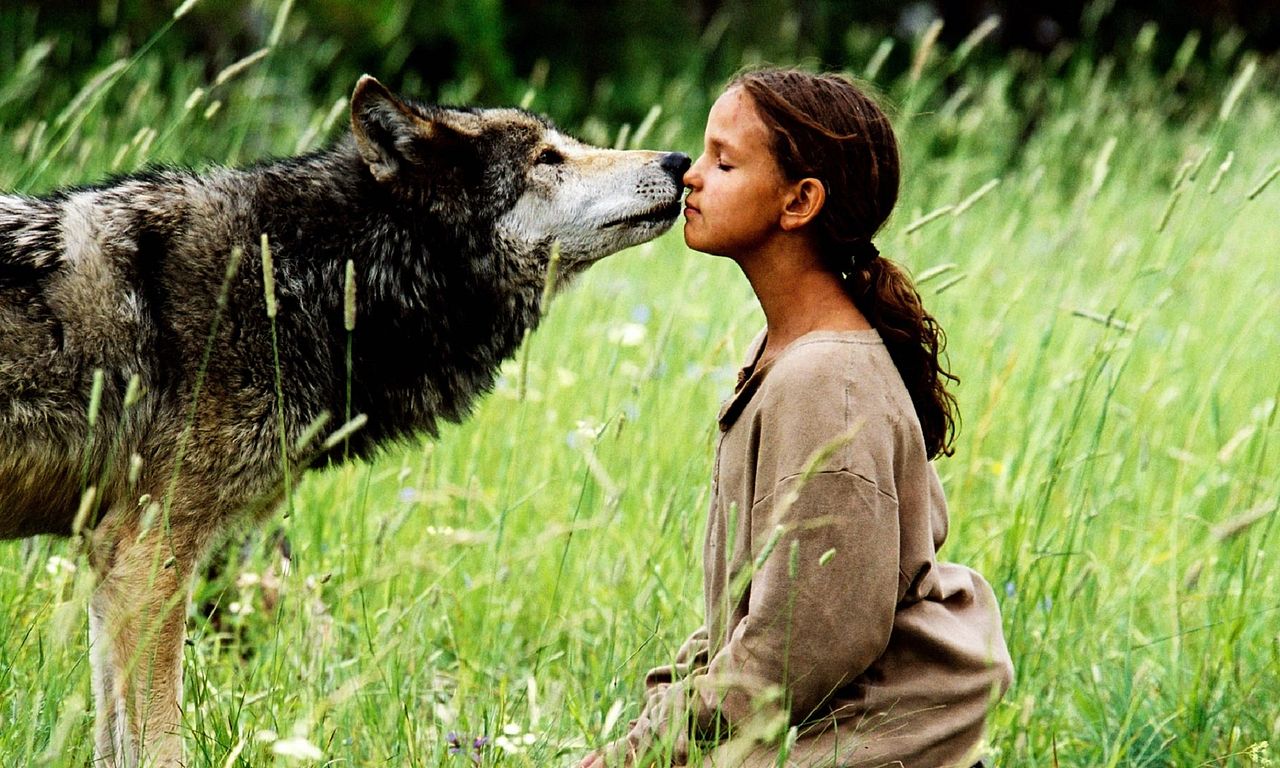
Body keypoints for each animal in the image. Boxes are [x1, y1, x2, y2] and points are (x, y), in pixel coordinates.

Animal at [0, 74, 689, 766]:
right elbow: (159, 742)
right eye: (548, 159)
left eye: (566, 144)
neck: (308, 274)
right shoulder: (150, 556)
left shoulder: (111, 559)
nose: (679, 161)